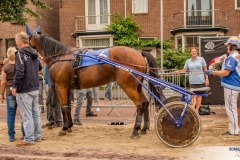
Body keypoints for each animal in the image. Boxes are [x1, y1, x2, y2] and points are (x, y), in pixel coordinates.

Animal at [26, 25, 161, 138]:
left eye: (28, 39)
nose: (26, 50)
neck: (61, 56)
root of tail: (138, 52)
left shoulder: (60, 87)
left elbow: (64, 107)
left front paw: (64, 128)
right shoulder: (67, 88)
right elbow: (68, 107)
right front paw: (69, 126)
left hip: (128, 86)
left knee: (139, 103)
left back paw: (135, 130)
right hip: (138, 86)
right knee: (145, 102)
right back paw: (143, 128)